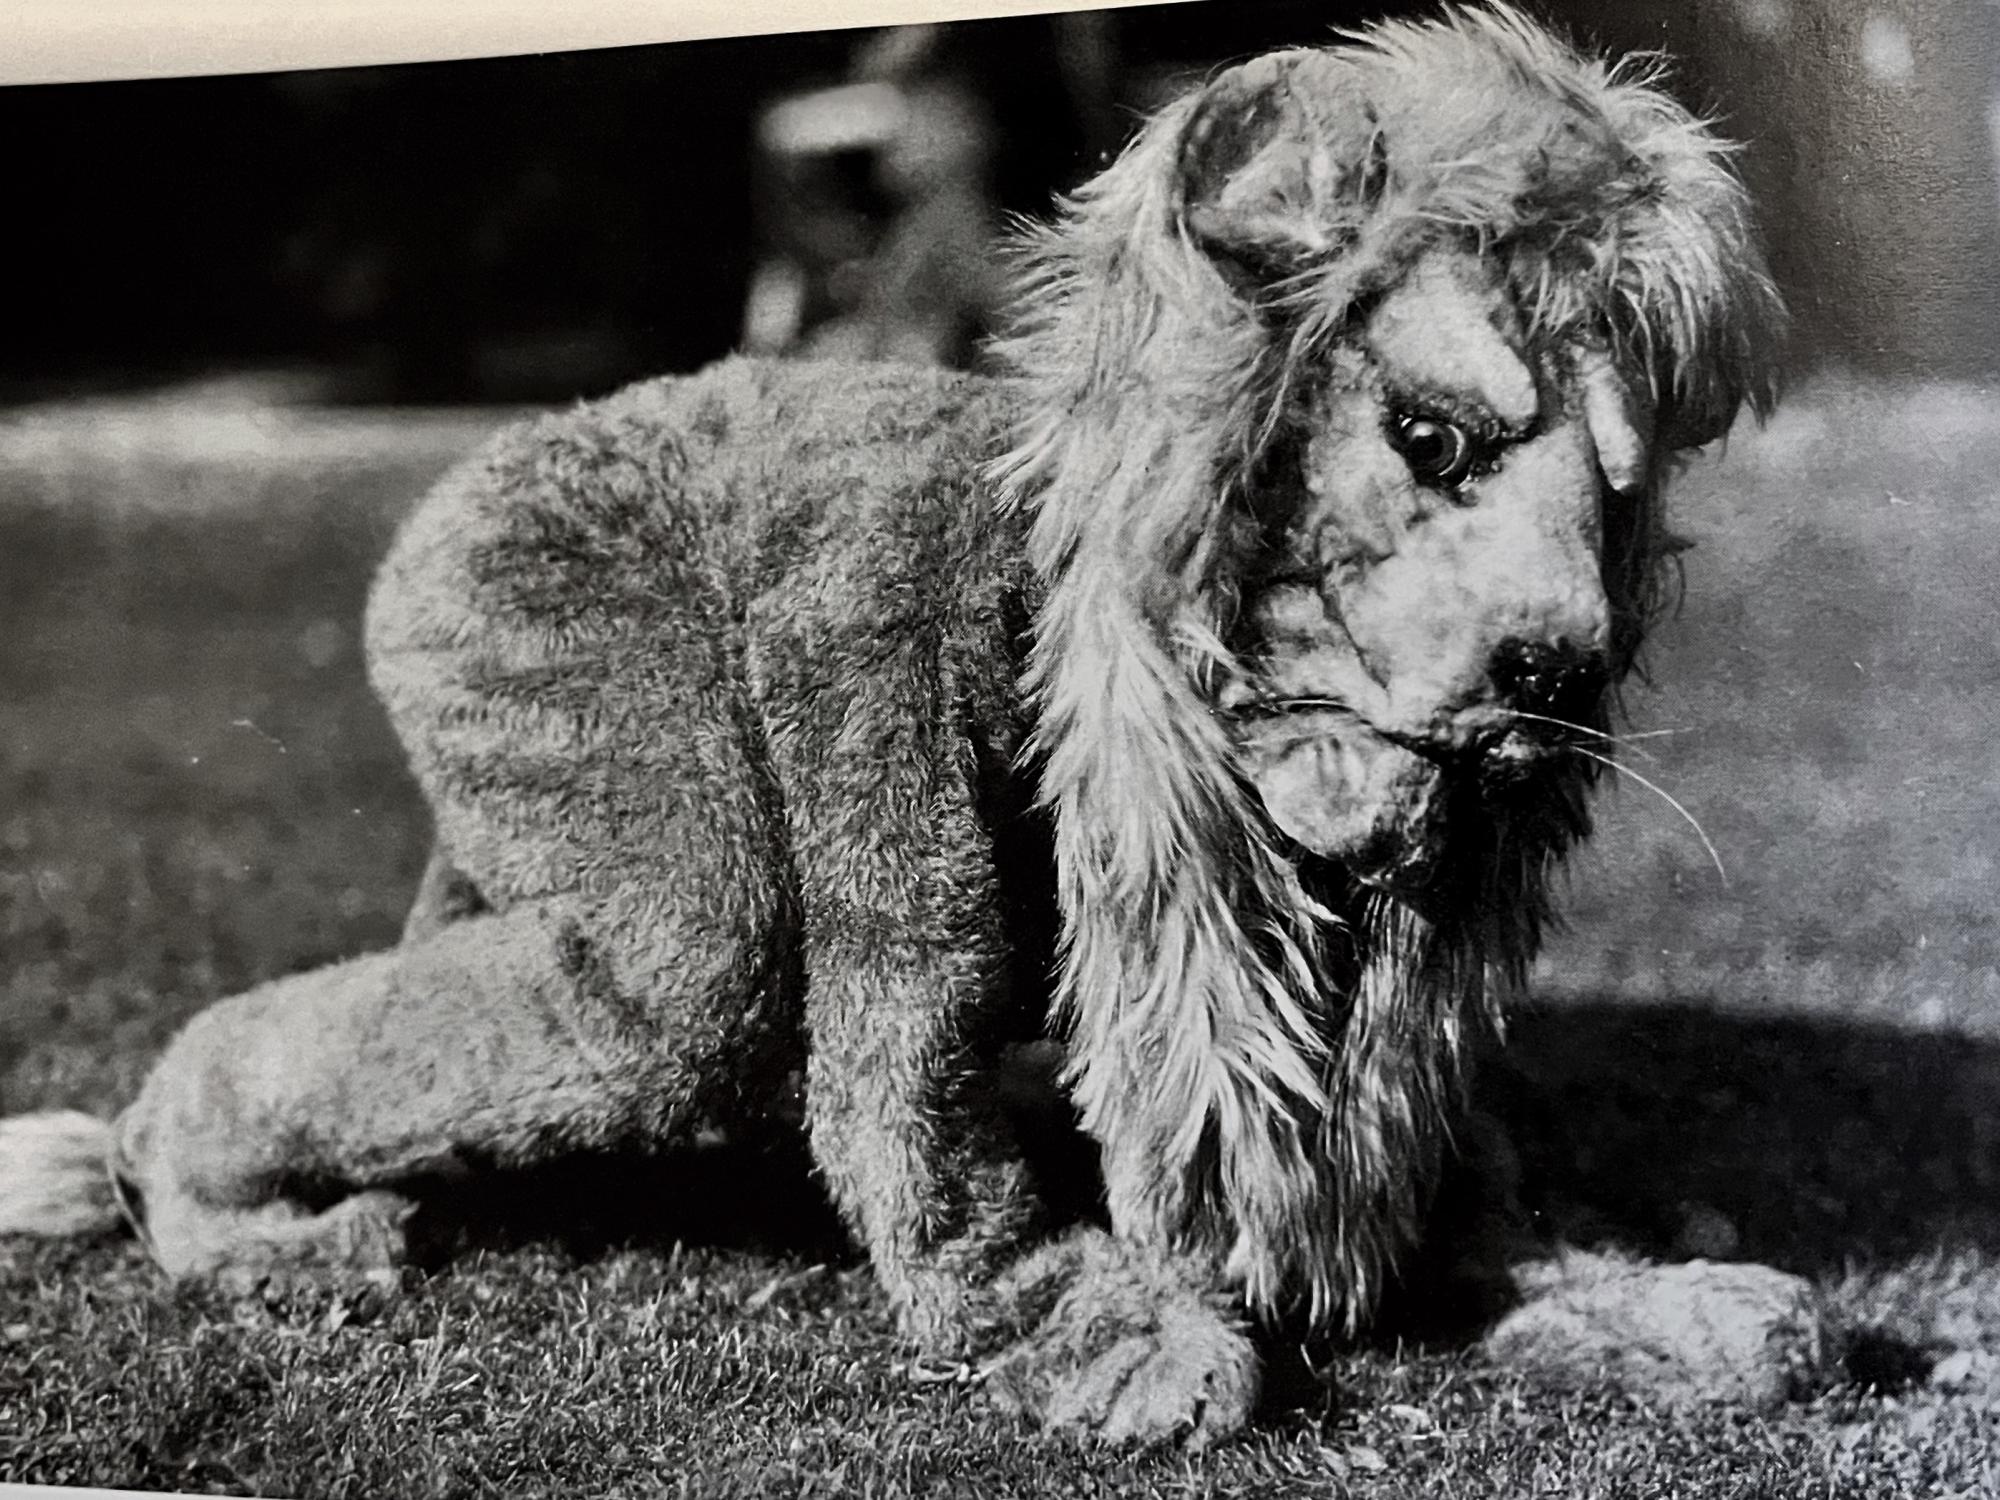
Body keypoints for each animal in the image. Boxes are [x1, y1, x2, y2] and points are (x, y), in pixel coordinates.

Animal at [0, 7, 1790, 1446]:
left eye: (1617, 505)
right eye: (1433, 440)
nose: (1564, 669)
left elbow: (1430, 1157)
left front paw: (1629, 1295)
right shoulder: (870, 648)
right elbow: (907, 1090)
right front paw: (1115, 1332)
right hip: (530, 643)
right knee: (669, 977)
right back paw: (207, 1198)